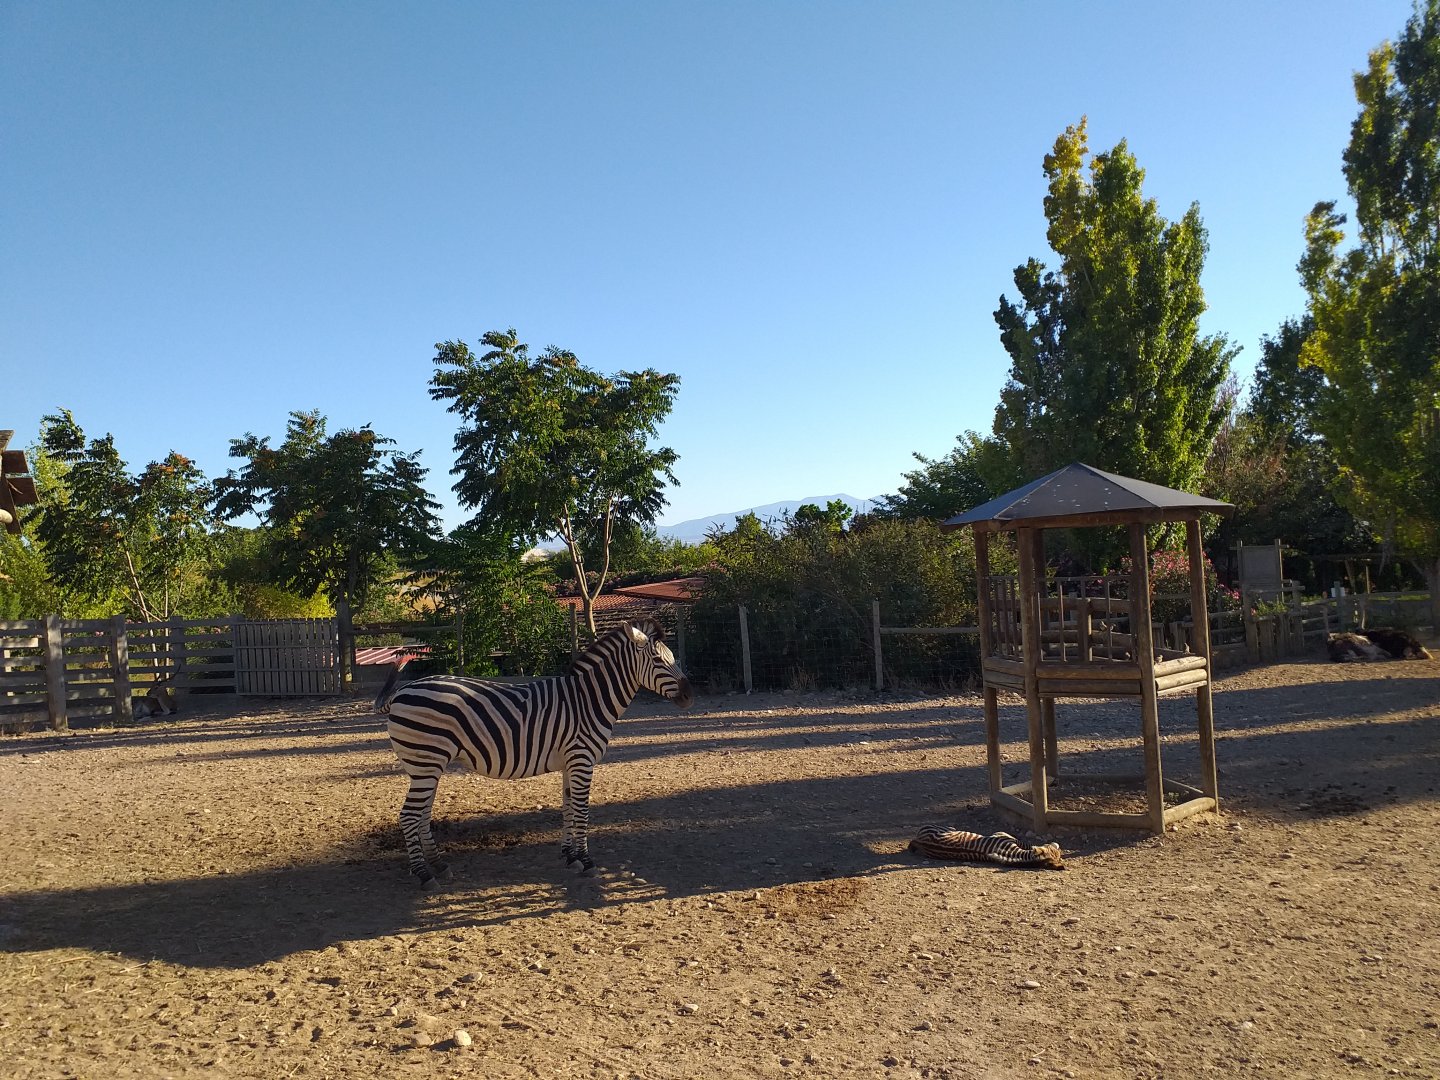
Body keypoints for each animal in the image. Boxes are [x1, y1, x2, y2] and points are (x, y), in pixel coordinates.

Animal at [376, 617, 694, 888]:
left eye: (673, 658)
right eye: (658, 660)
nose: (689, 696)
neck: (588, 700)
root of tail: (402, 691)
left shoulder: (570, 762)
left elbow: (568, 807)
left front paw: (570, 856)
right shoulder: (582, 760)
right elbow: (581, 810)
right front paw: (587, 861)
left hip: (426, 767)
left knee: (422, 815)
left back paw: (439, 864)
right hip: (426, 763)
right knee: (409, 816)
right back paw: (424, 874)